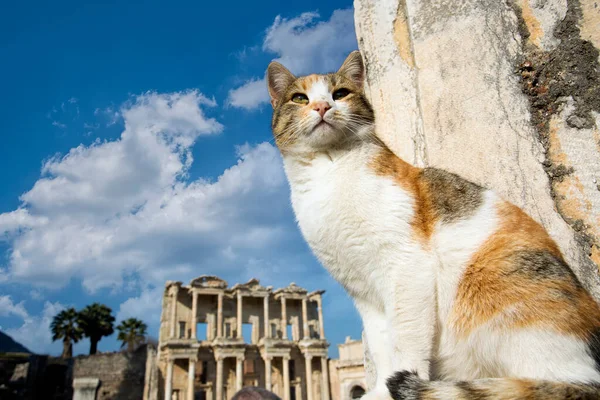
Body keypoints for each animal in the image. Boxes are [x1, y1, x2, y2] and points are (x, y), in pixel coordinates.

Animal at [266, 50, 600, 400]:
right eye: (299, 98)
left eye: (340, 93)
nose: (321, 106)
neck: (326, 172)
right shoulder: (362, 290)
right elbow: (382, 344)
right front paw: (378, 390)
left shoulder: (406, 264)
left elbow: (404, 339)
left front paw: (390, 390)